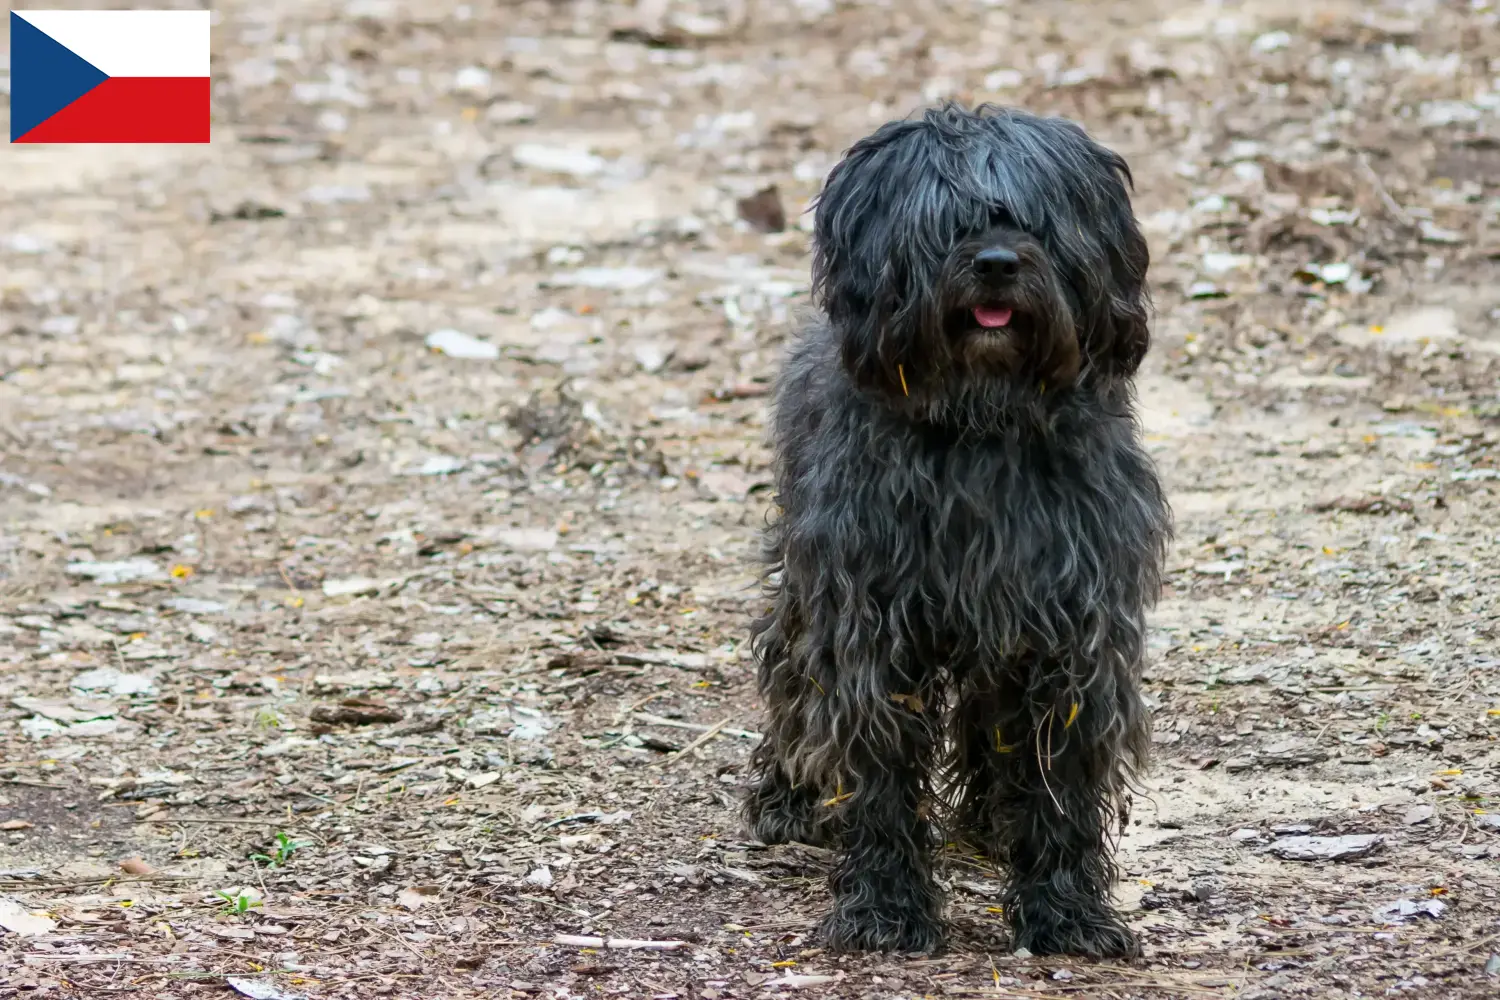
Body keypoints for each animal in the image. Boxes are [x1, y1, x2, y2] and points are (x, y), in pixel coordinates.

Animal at [744, 105, 1176, 959]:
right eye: (947, 222)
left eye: (1033, 218)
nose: (998, 264)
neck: (982, 420)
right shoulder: (870, 624)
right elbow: (877, 772)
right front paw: (885, 909)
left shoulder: (1071, 628)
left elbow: (1058, 774)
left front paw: (1066, 912)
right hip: (808, 594)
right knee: (793, 677)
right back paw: (790, 796)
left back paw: (993, 818)